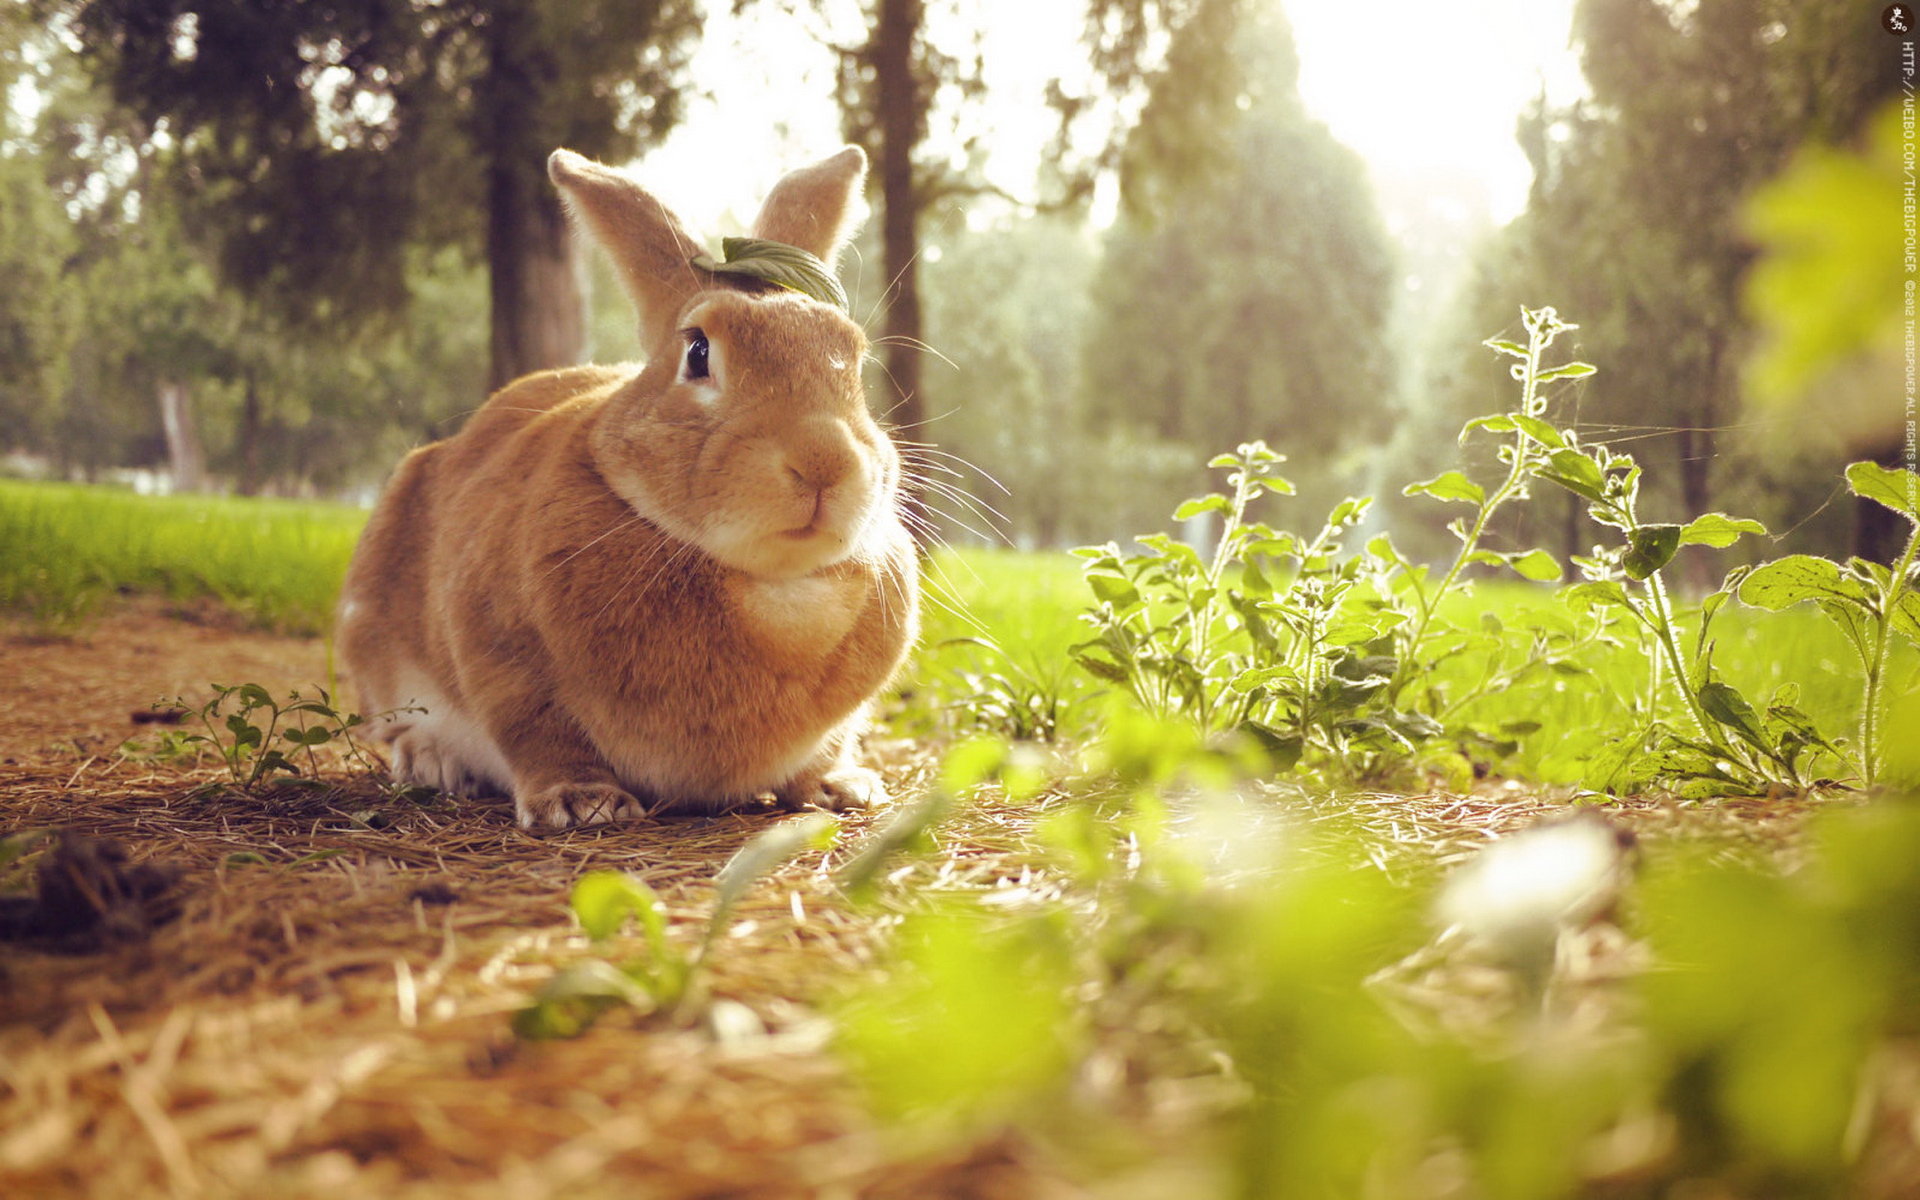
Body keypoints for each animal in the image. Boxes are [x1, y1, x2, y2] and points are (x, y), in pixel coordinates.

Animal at [332, 144, 921, 829]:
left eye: (853, 359)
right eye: (698, 353)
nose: (824, 460)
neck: (778, 587)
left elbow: (825, 750)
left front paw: (842, 788)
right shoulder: (504, 661)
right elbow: (539, 734)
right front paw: (582, 802)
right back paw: (434, 762)